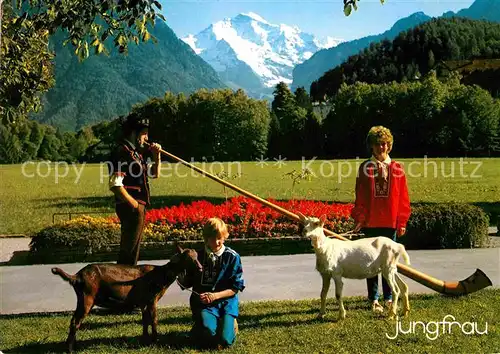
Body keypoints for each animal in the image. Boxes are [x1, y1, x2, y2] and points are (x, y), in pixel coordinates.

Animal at [49, 245, 200, 352]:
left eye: (197, 256)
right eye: (189, 258)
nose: (200, 267)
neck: (161, 274)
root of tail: (77, 276)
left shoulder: (143, 302)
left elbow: (145, 321)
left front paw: (144, 340)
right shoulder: (152, 299)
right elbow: (154, 320)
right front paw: (155, 341)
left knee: (75, 321)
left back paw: (73, 346)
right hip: (87, 297)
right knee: (75, 321)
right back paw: (70, 349)